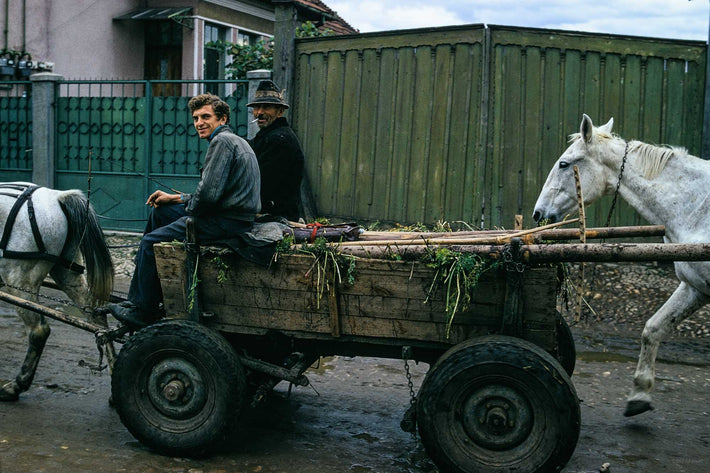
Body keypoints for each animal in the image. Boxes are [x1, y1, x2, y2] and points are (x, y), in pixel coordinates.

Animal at [0, 183, 114, 400]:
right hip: (67, 272)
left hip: (19, 279)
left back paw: (17, 385)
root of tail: (57, 197)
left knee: (39, 331)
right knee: (98, 321)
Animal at [536, 116, 710, 414]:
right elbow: (653, 329)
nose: (538, 213)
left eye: (564, 164)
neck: (697, 208)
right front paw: (640, 394)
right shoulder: (695, 287)